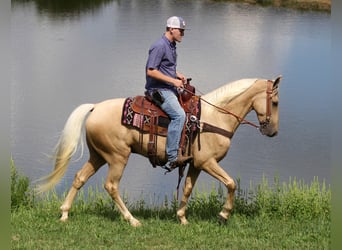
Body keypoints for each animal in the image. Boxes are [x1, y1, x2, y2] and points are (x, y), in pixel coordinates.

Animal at [38, 76, 280, 227]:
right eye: (275, 102)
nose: (273, 132)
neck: (214, 118)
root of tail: (95, 107)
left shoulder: (196, 164)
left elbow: (187, 188)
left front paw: (182, 217)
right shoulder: (208, 162)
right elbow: (231, 184)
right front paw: (223, 215)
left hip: (98, 156)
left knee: (80, 178)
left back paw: (64, 213)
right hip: (117, 157)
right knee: (111, 186)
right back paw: (132, 220)